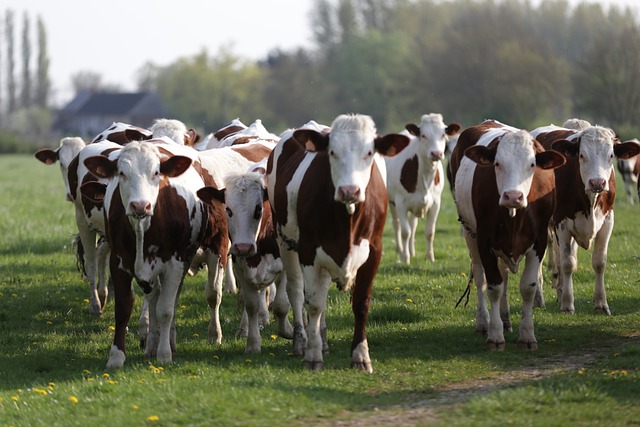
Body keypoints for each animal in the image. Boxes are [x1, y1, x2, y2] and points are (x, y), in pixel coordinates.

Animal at [81, 140, 228, 368]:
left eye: (156, 172)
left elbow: (166, 309)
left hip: (205, 251)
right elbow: (124, 309)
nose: (140, 205)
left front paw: (165, 354)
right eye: (121, 173)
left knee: (204, 295)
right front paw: (116, 356)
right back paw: (152, 343)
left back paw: (207, 335)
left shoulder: (175, 262)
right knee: (153, 299)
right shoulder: (119, 261)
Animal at [266, 115, 410, 372]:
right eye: (332, 152)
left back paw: (323, 340)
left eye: (369, 152)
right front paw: (312, 356)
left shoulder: (374, 251)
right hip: (285, 241)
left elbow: (361, 303)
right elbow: (313, 303)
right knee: (297, 291)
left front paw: (361, 356)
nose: (349, 190)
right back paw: (302, 341)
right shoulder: (309, 250)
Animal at [384, 113, 460, 264]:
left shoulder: (436, 203)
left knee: (413, 225)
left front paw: (430, 257)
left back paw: (412, 251)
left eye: (443, 134)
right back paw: (400, 250)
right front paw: (405, 258)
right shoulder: (400, 203)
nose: (436, 153)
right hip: (392, 201)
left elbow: (429, 232)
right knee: (397, 224)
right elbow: (405, 232)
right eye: (424, 135)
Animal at [450, 119, 564, 352]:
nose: (513, 196)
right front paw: (495, 336)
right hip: (469, 232)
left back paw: (505, 319)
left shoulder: (539, 242)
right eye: (497, 164)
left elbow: (528, 287)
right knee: (480, 278)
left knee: (504, 275)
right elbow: (494, 286)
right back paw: (484, 322)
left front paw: (527, 335)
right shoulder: (484, 241)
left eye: (532, 165)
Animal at [528, 123, 640, 314]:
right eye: (581, 155)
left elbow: (599, 262)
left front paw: (601, 303)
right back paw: (538, 298)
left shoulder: (607, 221)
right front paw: (567, 304)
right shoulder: (562, 222)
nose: (597, 182)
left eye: (611, 155)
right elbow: (567, 263)